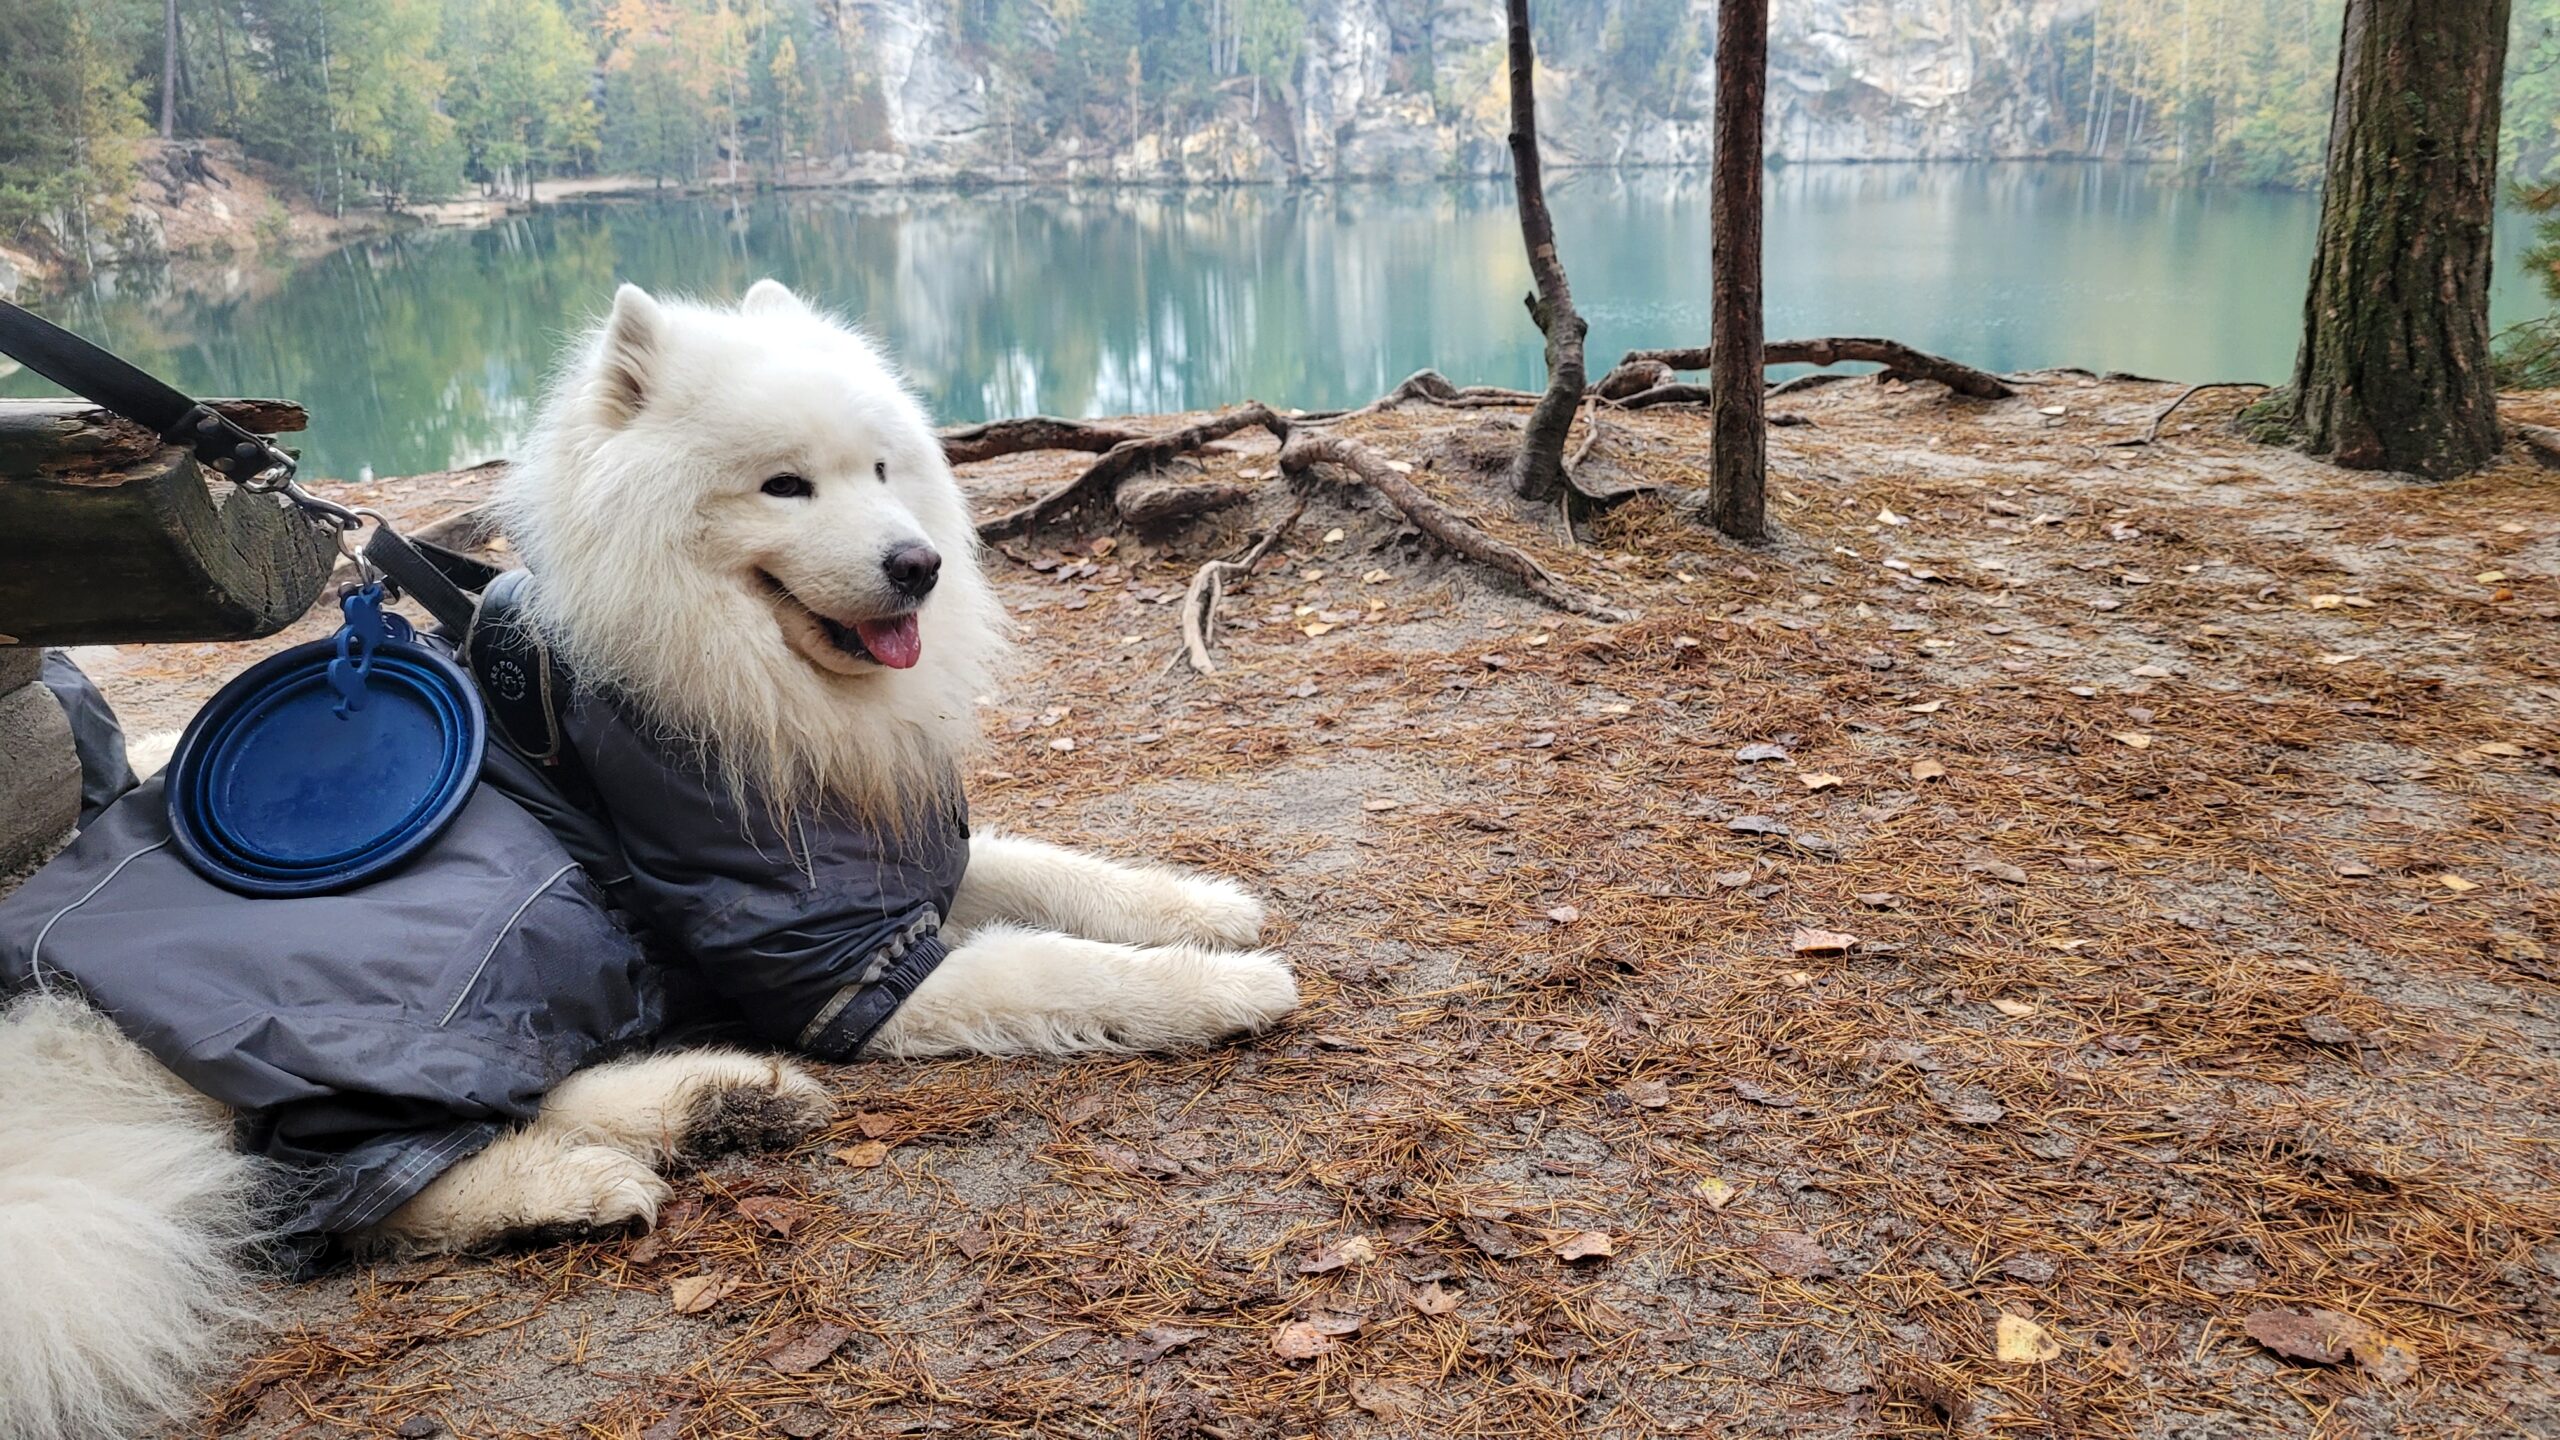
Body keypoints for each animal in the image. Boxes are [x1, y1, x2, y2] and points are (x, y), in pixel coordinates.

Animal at [0, 283, 1300, 1434]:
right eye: (784, 486)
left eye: (882, 472)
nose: (918, 564)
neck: (744, 679)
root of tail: (56, 1030)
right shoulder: (834, 962)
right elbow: (1060, 968)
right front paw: (1225, 986)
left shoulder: (878, 855)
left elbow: (1053, 870)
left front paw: (1202, 905)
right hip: (492, 910)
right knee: (323, 1190)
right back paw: (584, 1178)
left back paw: (715, 1101)